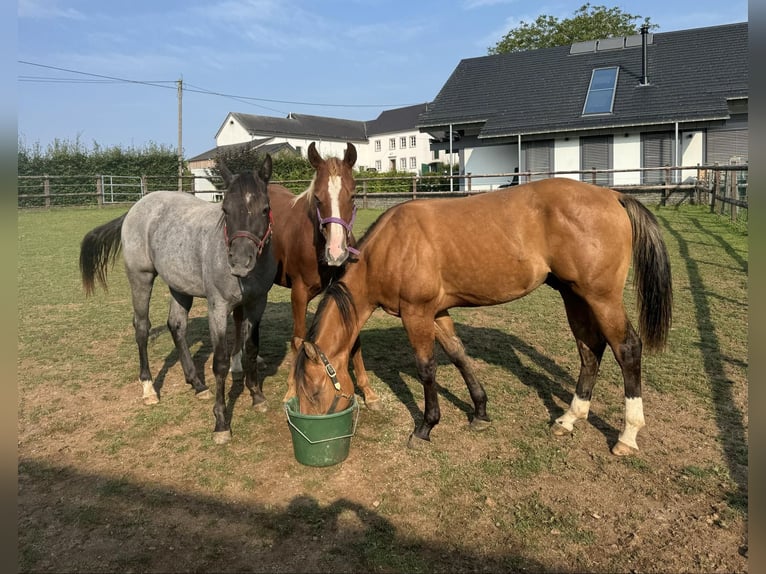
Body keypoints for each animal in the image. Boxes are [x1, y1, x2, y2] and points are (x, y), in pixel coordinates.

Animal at [79, 156, 278, 446]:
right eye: (226, 210)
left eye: (264, 209)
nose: (240, 262)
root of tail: (136, 208)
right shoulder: (218, 308)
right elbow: (220, 362)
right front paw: (221, 423)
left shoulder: (256, 304)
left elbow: (251, 350)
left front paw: (257, 397)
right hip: (141, 278)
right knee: (141, 328)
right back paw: (149, 389)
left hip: (179, 286)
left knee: (176, 325)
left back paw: (197, 384)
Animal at [292, 178, 676, 456]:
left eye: (314, 390)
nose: (310, 433)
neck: (391, 247)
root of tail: (613, 196)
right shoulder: (437, 312)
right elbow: (459, 356)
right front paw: (479, 411)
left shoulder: (416, 314)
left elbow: (426, 368)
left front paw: (426, 427)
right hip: (574, 295)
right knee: (590, 350)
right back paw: (569, 418)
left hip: (601, 297)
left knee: (627, 348)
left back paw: (627, 435)